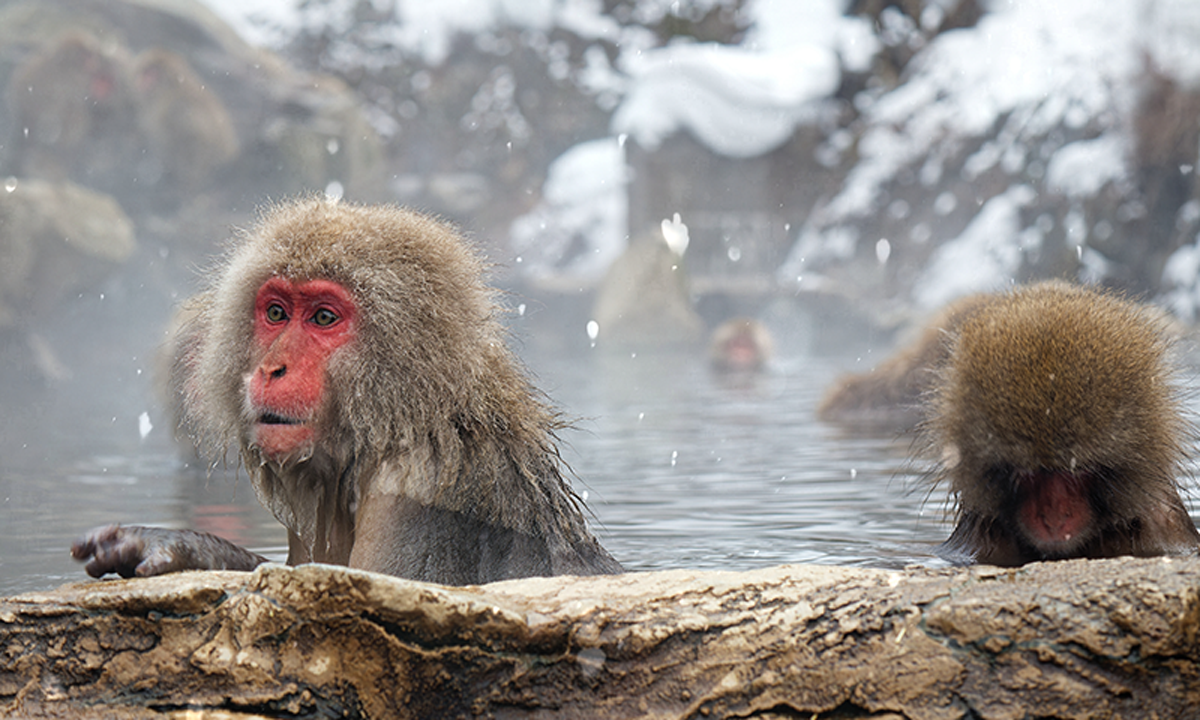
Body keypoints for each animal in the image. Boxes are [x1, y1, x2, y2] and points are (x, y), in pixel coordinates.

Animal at [72, 197, 623, 585]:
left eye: (323, 317)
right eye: (276, 313)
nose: (271, 368)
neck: (401, 419)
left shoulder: (414, 489)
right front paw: (177, 546)